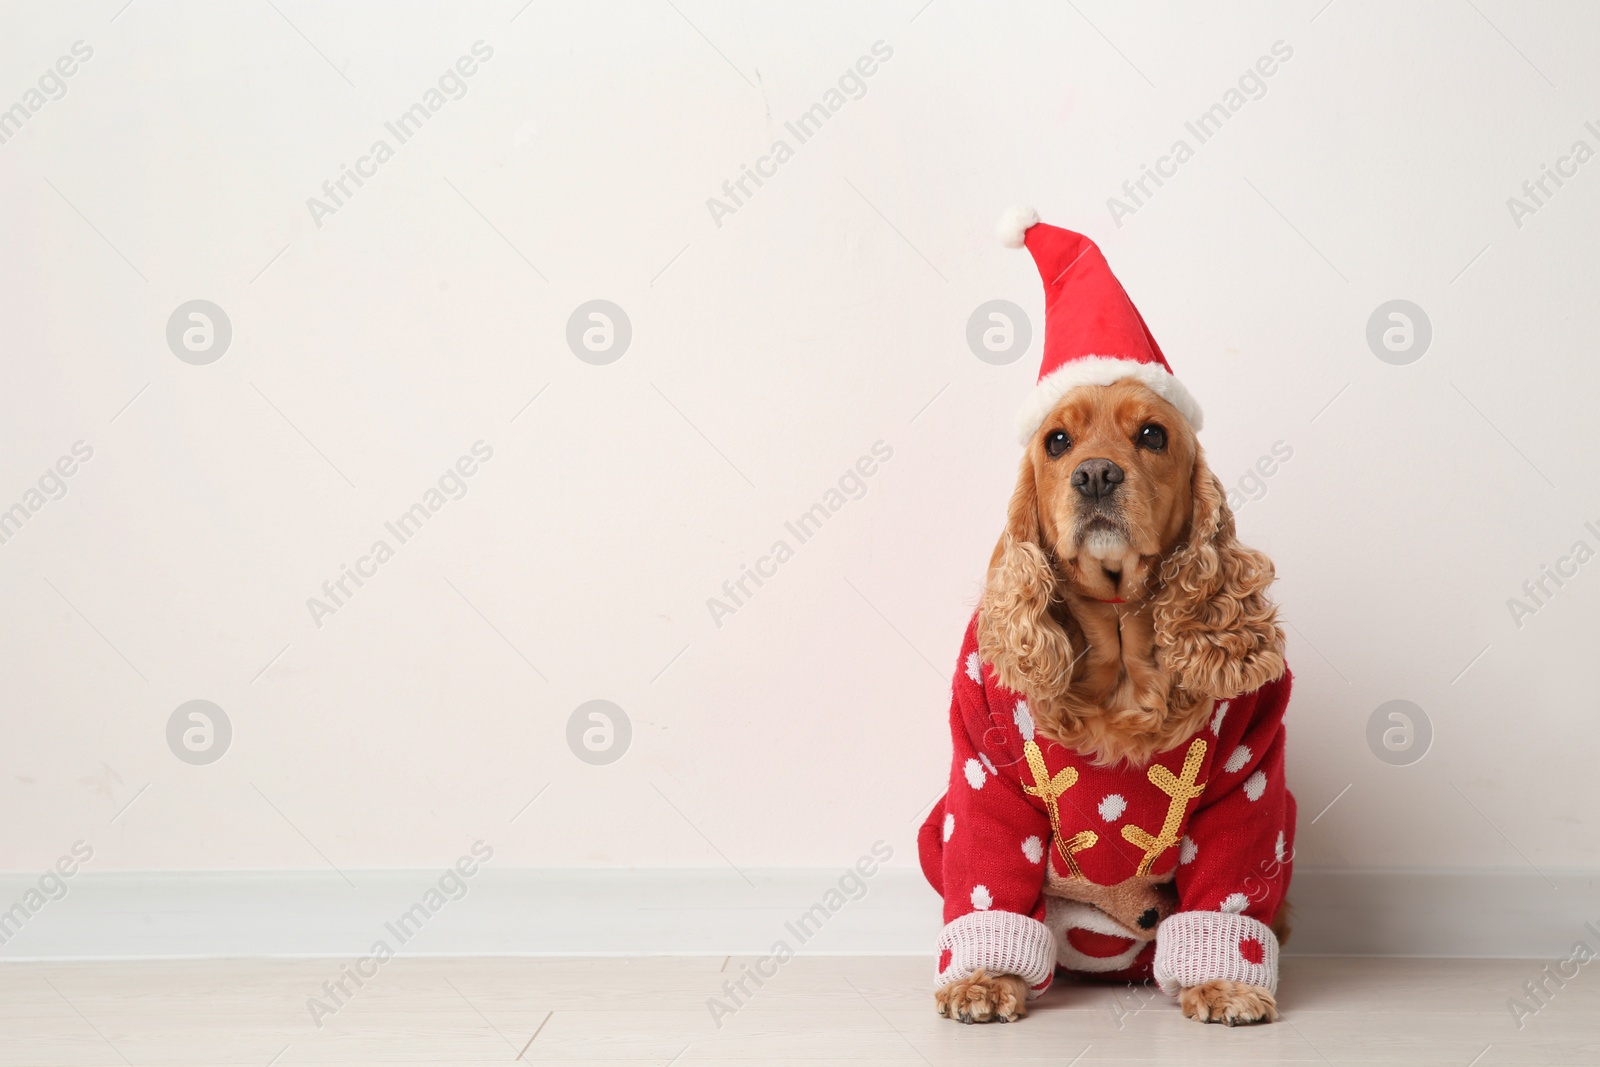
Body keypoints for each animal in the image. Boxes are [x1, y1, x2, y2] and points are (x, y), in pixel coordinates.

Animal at [921, 214, 1292, 1023]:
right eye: (1058, 441)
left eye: (1152, 434)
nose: (1095, 475)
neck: (1121, 639)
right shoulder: (983, 767)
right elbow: (988, 878)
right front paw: (983, 979)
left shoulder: (1251, 771)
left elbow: (1230, 886)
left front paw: (1227, 982)